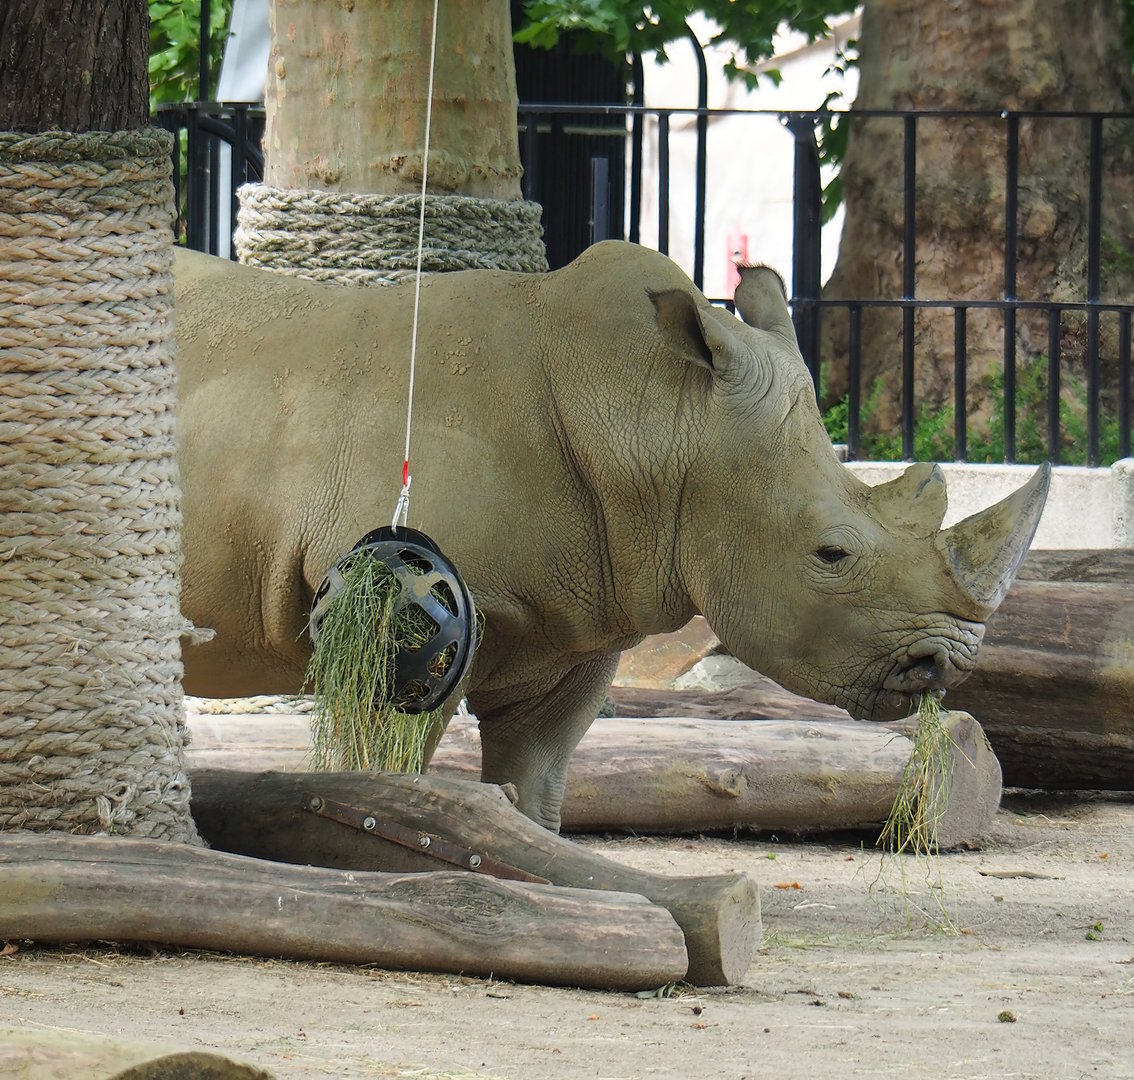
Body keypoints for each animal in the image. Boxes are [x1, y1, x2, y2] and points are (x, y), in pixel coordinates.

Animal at [174, 241, 1048, 831]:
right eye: (831, 554)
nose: (947, 665)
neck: (665, 424)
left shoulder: (576, 623)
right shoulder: (396, 607)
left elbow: (536, 785)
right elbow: (387, 758)